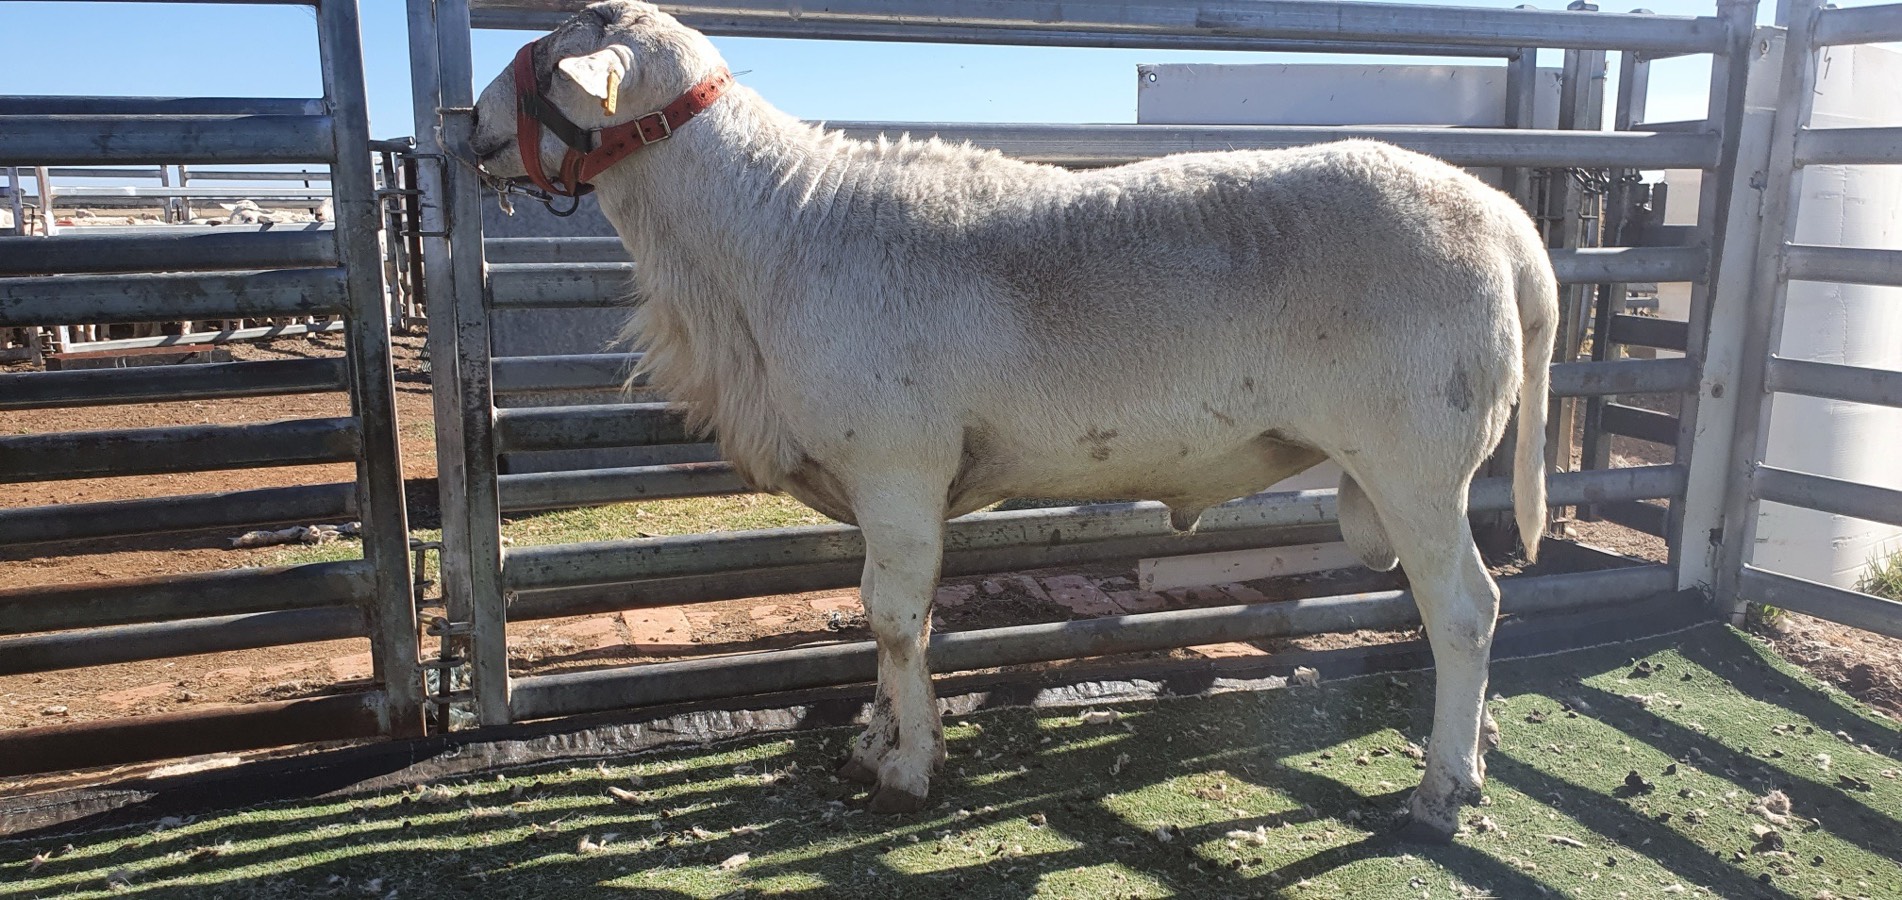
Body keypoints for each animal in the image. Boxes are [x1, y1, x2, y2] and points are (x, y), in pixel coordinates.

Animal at [467, 0, 1557, 842]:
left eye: (548, 61)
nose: (464, 126)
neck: (768, 231)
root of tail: (1512, 230)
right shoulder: (887, 484)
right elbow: (895, 618)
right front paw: (879, 740)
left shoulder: (897, 464)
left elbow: (892, 617)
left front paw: (905, 771)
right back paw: (1477, 750)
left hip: (1418, 456)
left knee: (1467, 610)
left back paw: (1444, 786)